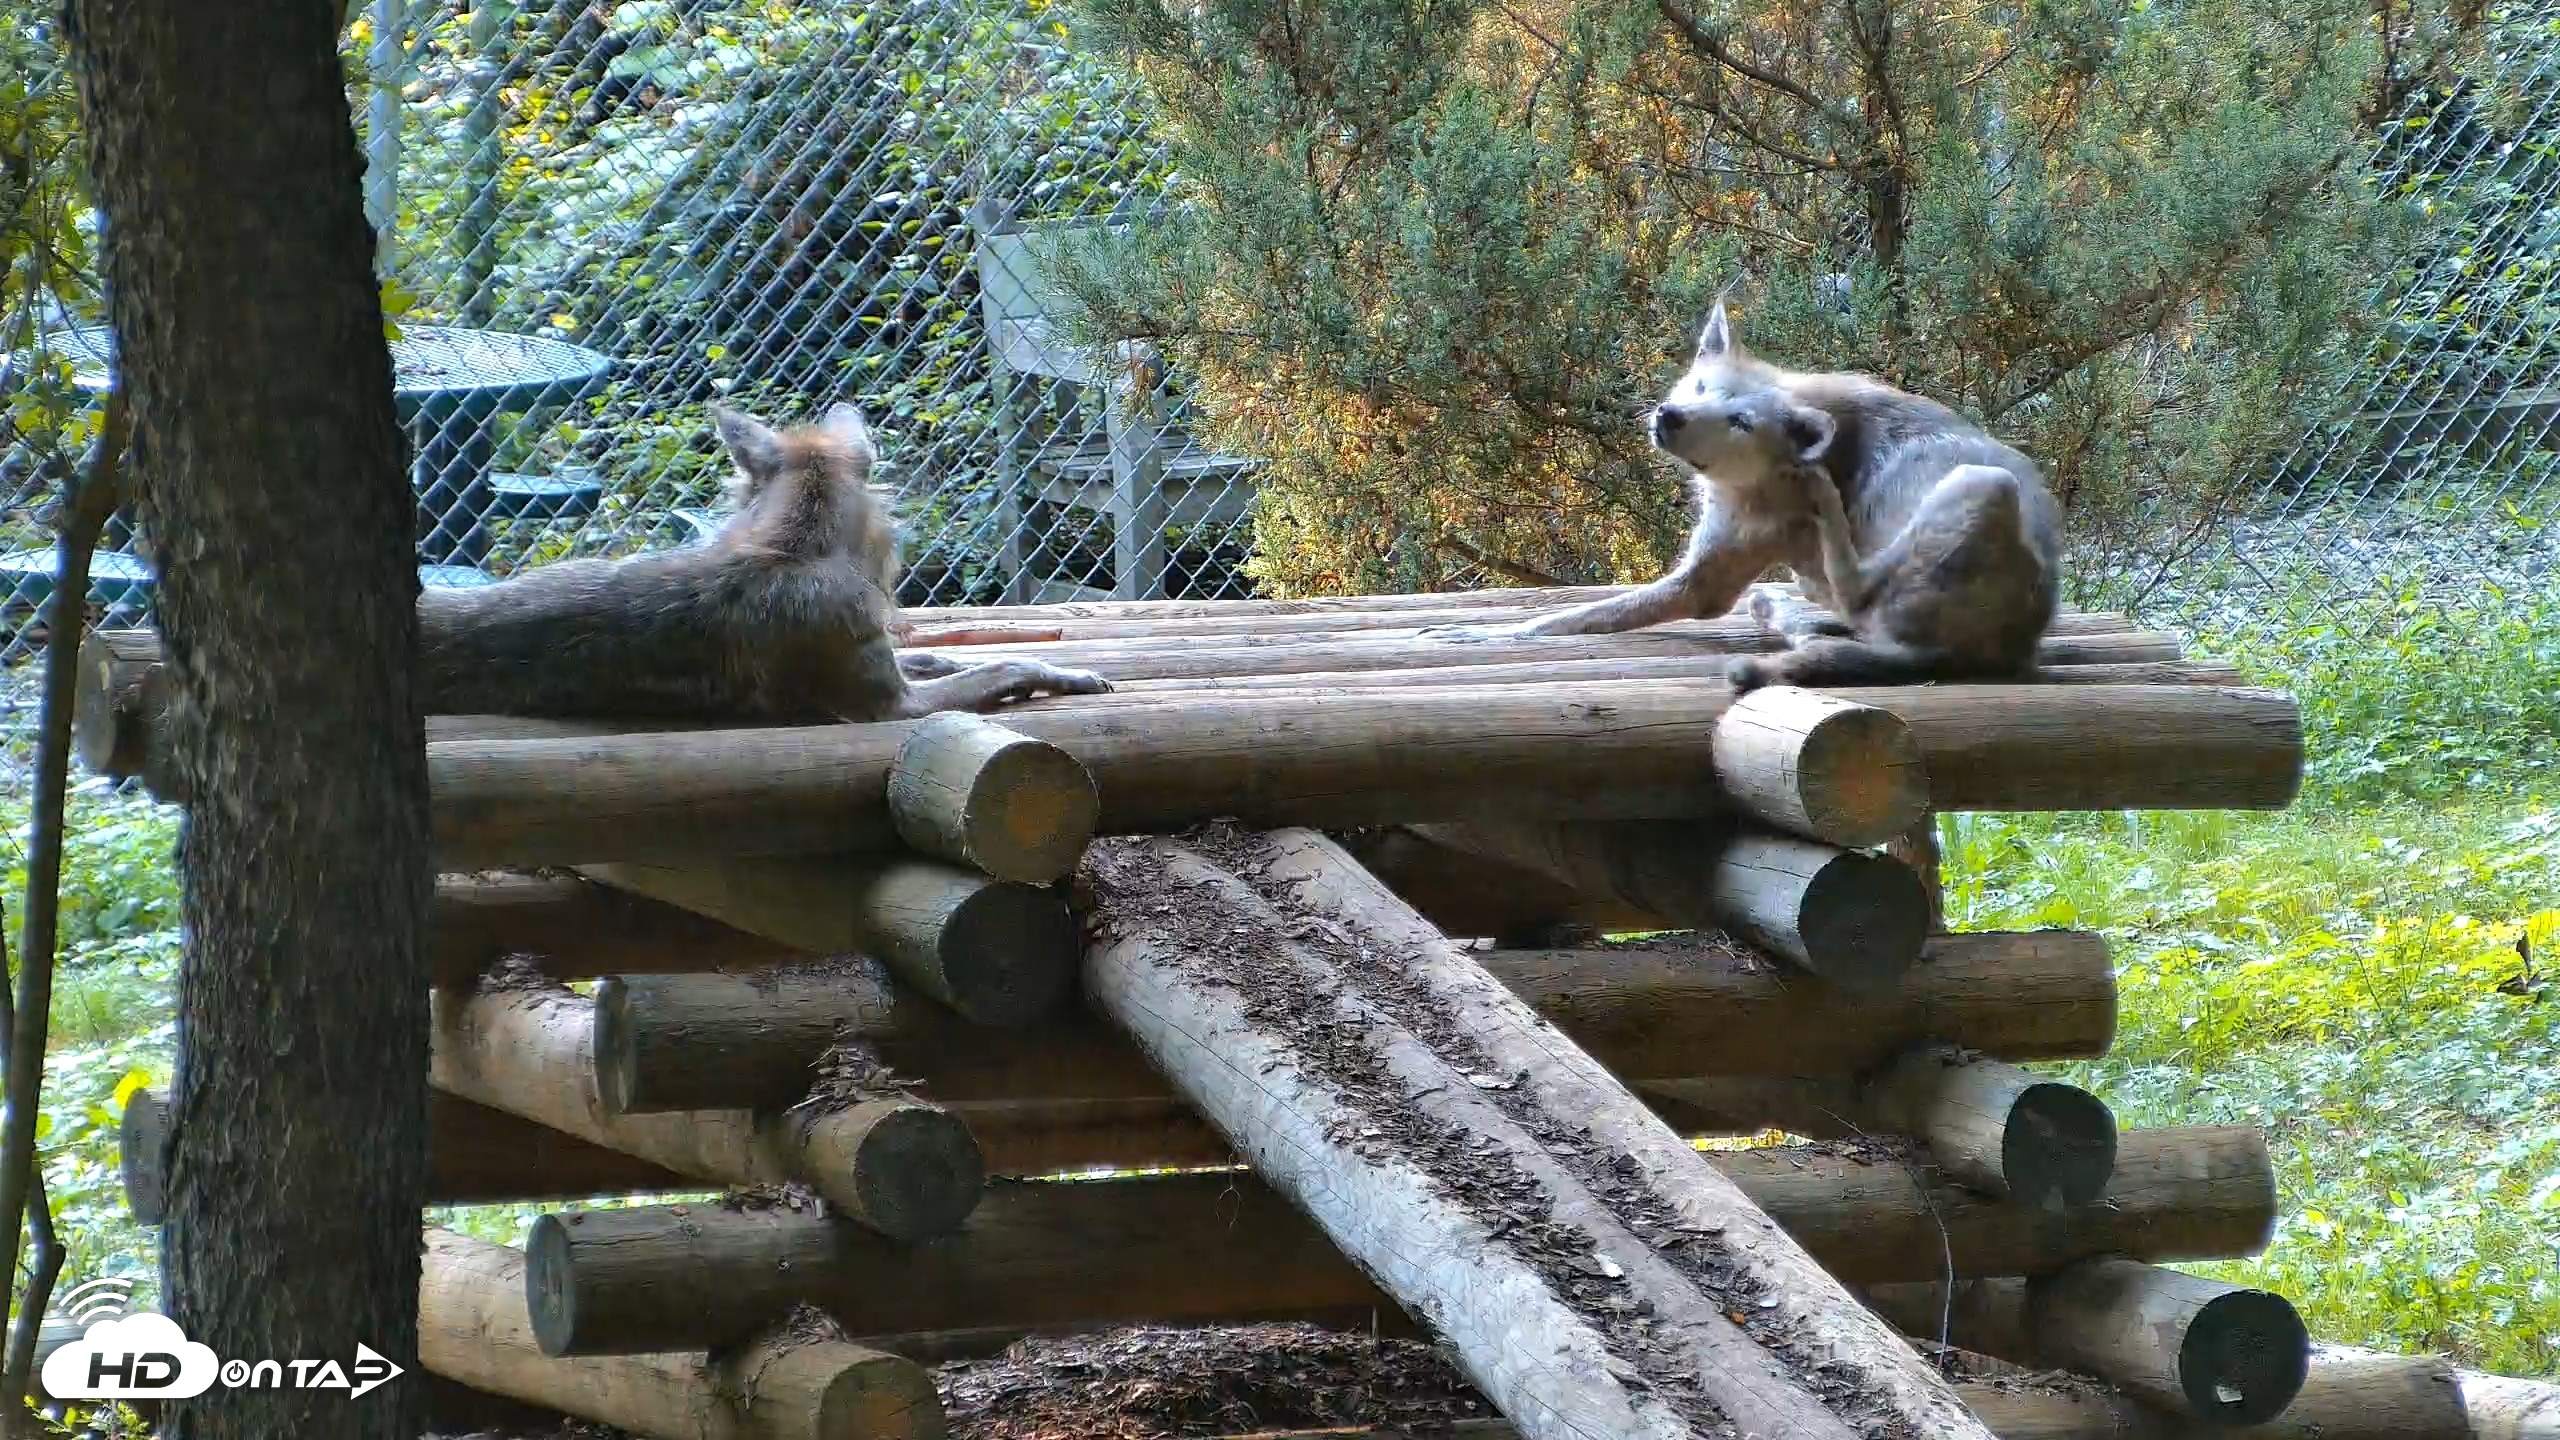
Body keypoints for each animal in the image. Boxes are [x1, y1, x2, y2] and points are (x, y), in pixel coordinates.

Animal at [1424, 300, 2062, 691]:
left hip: (1981, 483)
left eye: (1740, 422)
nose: (1670, 415)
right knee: (1828, 620)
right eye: (1701, 387)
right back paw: (1789, 612)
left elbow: (1559, 620)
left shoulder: (1700, 585)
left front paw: (1479, 634)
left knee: (1852, 592)